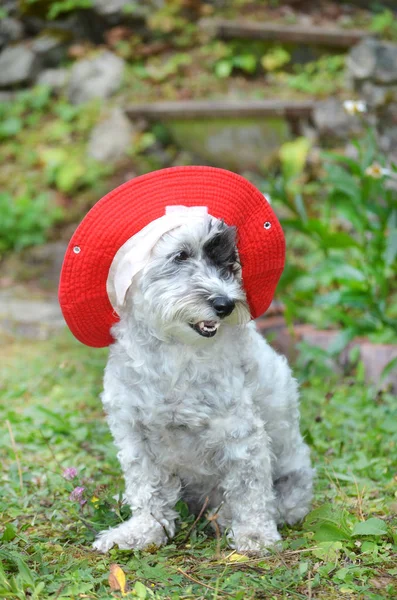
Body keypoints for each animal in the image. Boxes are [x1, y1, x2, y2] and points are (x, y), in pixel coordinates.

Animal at [93, 214, 312, 552]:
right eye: (181, 255)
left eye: (227, 262)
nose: (226, 304)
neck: (174, 349)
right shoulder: (134, 434)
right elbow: (146, 487)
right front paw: (143, 531)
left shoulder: (240, 432)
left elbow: (249, 490)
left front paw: (255, 536)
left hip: (291, 482)